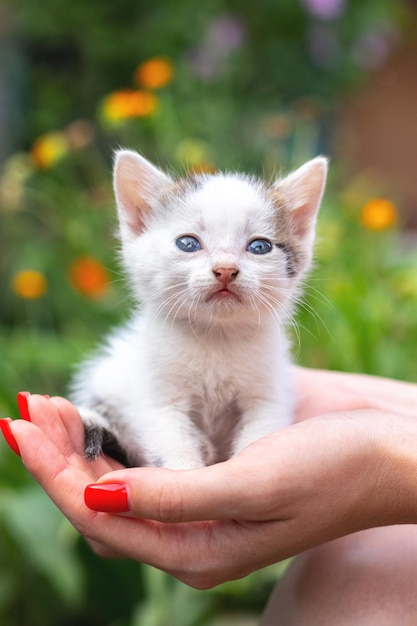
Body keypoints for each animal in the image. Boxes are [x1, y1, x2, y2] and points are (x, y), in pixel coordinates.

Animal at [70, 149, 326, 466]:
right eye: (188, 243)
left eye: (260, 247)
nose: (225, 269)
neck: (215, 335)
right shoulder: (157, 397)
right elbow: (170, 440)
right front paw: (185, 466)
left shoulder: (269, 394)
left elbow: (260, 431)